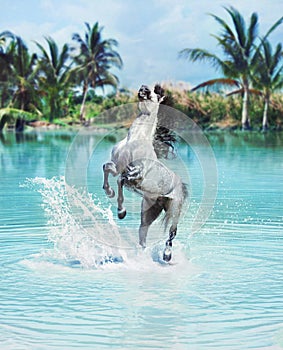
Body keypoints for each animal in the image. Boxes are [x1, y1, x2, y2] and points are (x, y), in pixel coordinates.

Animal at [102, 84, 189, 260]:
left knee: (172, 232)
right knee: (143, 233)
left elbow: (120, 180)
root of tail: (180, 183)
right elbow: (106, 168)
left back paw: (167, 255)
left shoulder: (135, 175)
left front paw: (121, 211)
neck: (134, 141)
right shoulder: (118, 167)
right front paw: (109, 193)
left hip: (174, 210)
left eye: (153, 93)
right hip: (149, 211)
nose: (142, 89)